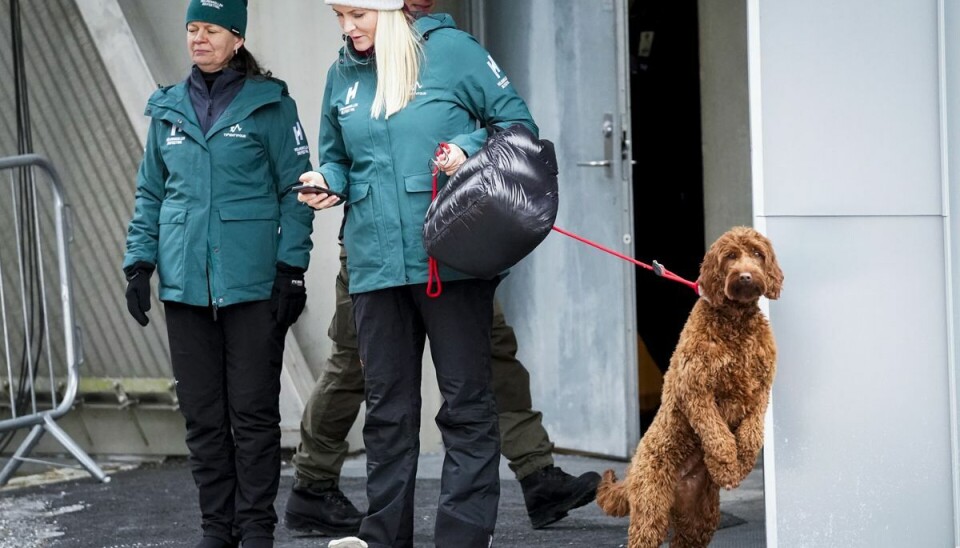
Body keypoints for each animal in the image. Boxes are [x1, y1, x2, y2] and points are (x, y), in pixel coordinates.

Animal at [596, 226, 784, 548]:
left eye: (757, 253)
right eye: (730, 256)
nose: (746, 276)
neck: (736, 322)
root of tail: (632, 470)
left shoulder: (760, 392)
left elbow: (751, 434)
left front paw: (742, 464)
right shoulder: (696, 390)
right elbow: (717, 433)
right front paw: (725, 467)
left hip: (699, 518)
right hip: (651, 504)